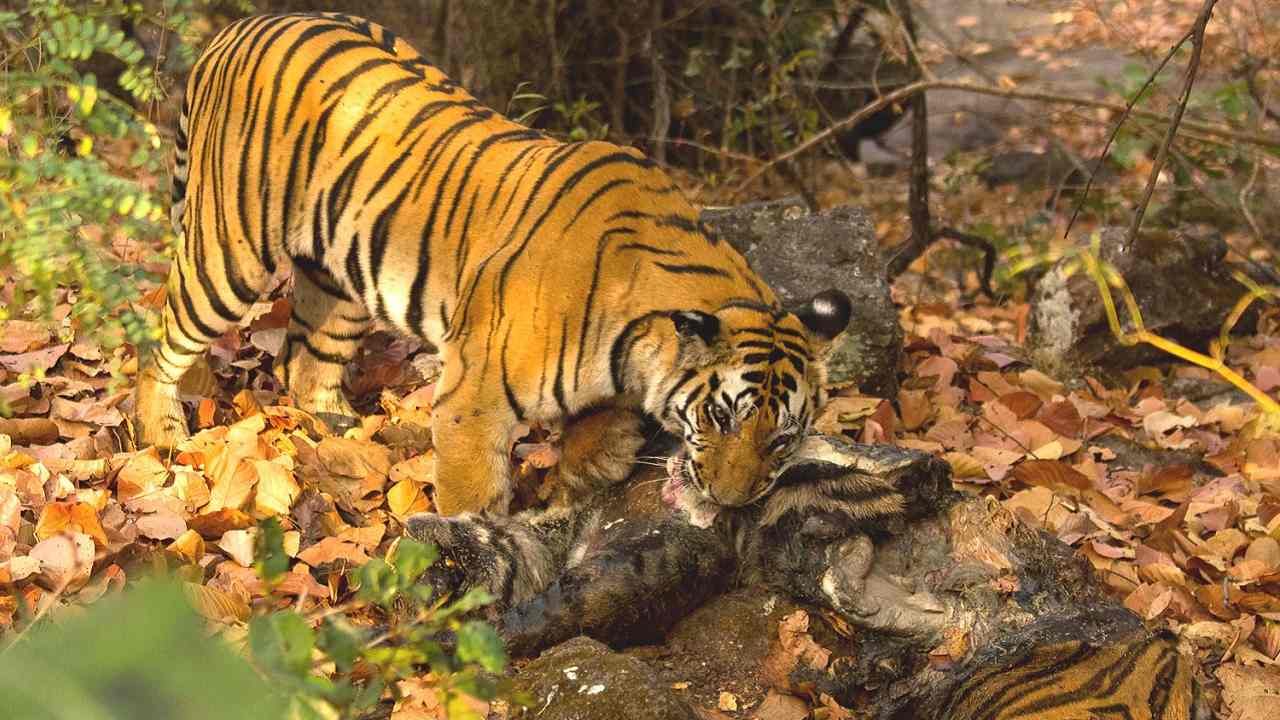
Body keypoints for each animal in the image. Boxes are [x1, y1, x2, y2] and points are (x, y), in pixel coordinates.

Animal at [137, 12, 849, 515]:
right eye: (721, 418)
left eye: (782, 439)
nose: (731, 503)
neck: (637, 350)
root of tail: (241, 26)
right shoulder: (472, 396)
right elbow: (471, 493)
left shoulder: (613, 401)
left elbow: (596, 454)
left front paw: (564, 501)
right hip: (227, 256)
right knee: (159, 342)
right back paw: (163, 434)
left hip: (337, 276)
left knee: (304, 365)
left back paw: (343, 435)